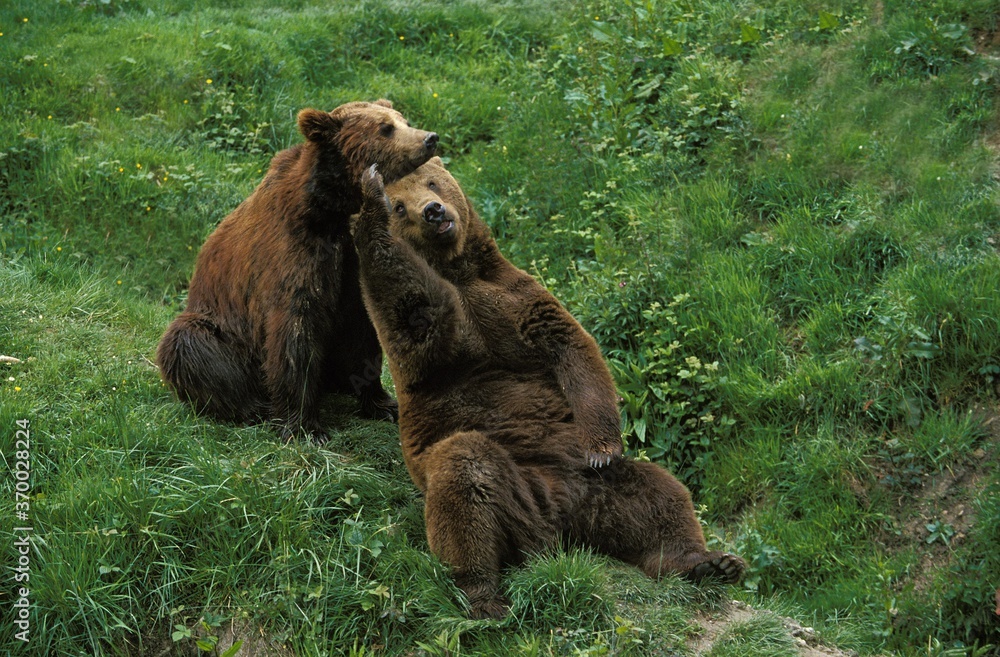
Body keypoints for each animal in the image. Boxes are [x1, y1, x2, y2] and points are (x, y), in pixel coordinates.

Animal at [156, 100, 438, 442]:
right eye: (385, 128)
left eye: (403, 121)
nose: (430, 138)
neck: (332, 211)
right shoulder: (296, 253)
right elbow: (296, 328)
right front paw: (306, 426)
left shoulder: (349, 264)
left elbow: (363, 328)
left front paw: (382, 402)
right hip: (222, 332)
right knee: (190, 346)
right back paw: (254, 406)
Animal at [352, 158, 746, 619]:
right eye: (401, 205)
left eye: (433, 182)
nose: (433, 211)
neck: (458, 269)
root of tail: (566, 525)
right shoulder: (433, 342)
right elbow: (410, 306)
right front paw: (369, 200)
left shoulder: (516, 298)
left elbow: (574, 350)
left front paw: (601, 448)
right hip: (517, 488)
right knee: (464, 477)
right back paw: (482, 594)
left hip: (604, 484)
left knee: (662, 497)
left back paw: (709, 562)